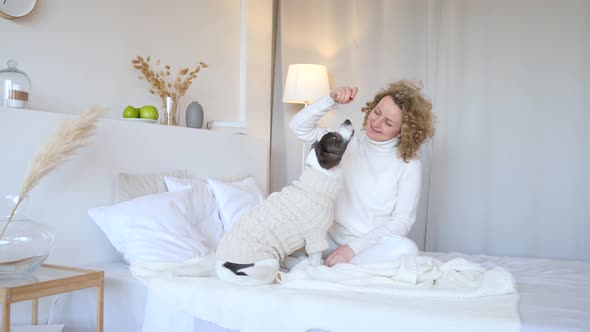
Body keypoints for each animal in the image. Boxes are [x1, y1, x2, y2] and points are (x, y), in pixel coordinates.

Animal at [217, 119, 356, 286]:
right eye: (335, 137)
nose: (347, 120)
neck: (317, 181)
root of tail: (224, 265)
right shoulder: (315, 236)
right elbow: (315, 263)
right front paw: (316, 271)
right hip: (270, 262)